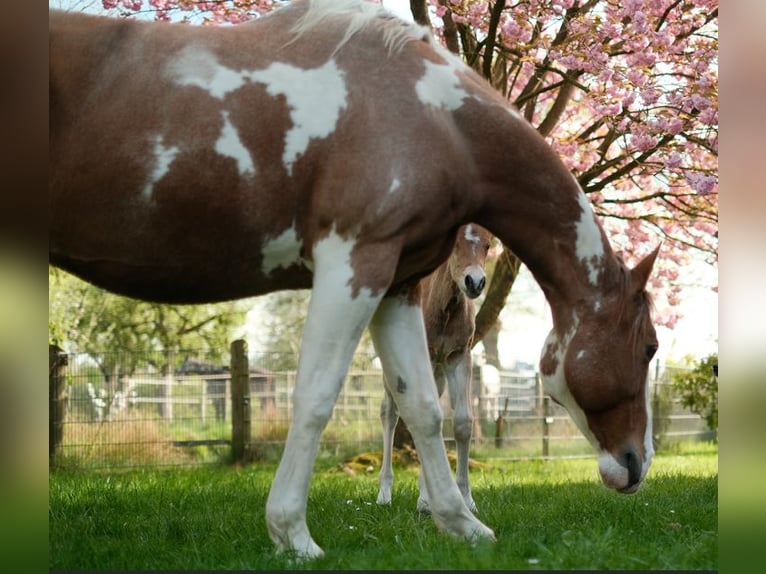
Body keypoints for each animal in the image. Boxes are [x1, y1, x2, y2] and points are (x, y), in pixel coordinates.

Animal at [377, 223, 492, 515]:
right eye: (454, 244)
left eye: (487, 245)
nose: (474, 282)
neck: (445, 307)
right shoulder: (426, 355)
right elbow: (426, 416)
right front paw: (426, 500)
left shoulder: (459, 357)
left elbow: (462, 422)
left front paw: (466, 499)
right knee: (390, 414)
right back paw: (384, 494)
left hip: (438, 372)